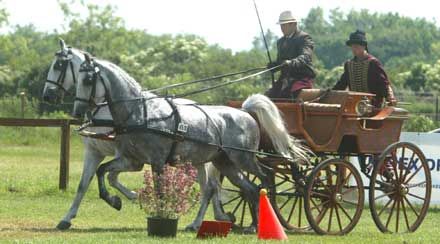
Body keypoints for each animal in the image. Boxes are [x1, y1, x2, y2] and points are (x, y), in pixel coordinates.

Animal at [43, 42, 308, 231]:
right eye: (79, 77)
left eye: (88, 79)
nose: (77, 111)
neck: (138, 111)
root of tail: (245, 112)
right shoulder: (131, 160)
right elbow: (100, 175)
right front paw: (115, 201)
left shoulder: (155, 161)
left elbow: (156, 189)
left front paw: (158, 213)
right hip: (224, 163)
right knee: (241, 188)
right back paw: (245, 225)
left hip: (243, 159)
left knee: (263, 180)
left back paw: (260, 220)